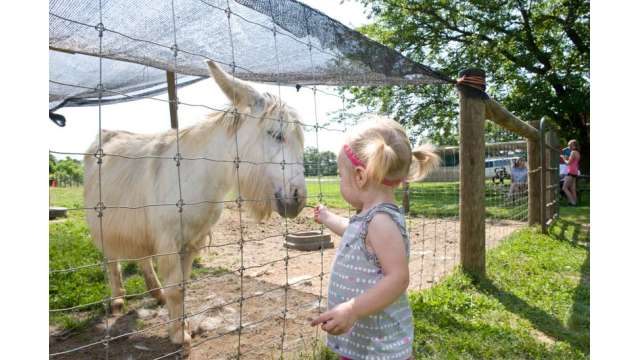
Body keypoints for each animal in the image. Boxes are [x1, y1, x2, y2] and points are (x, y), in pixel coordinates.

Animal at [83, 60, 308, 348]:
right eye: (276, 135)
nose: (298, 199)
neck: (198, 175)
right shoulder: (169, 240)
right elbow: (176, 288)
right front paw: (179, 336)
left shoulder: (190, 242)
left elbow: (183, 286)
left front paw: (181, 324)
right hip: (104, 221)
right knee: (111, 259)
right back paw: (118, 300)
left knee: (143, 256)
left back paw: (155, 294)